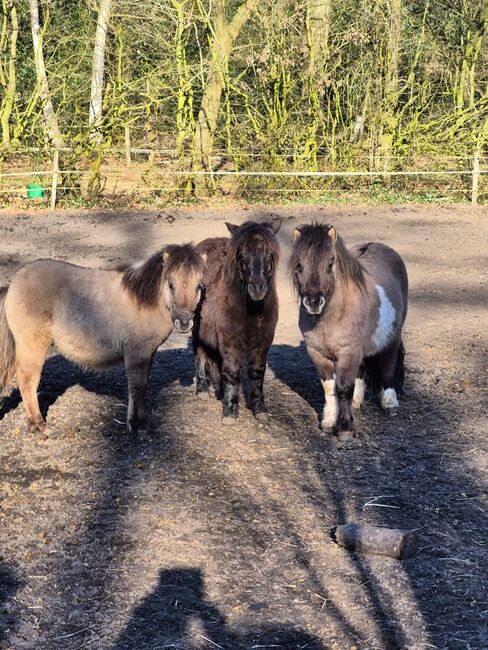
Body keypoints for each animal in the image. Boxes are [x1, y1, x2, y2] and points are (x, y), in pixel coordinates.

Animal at [0, 246, 206, 432]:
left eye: (198, 286)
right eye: (171, 284)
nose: (184, 323)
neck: (146, 301)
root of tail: (12, 286)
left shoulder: (148, 354)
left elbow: (143, 385)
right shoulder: (136, 353)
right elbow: (137, 386)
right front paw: (136, 424)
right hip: (32, 346)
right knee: (27, 381)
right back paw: (37, 424)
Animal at [192, 220, 280, 422]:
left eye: (269, 255)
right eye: (242, 255)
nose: (257, 289)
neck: (251, 310)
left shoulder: (263, 341)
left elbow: (257, 372)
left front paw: (258, 408)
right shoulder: (229, 340)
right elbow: (232, 371)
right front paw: (230, 412)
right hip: (199, 329)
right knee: (200, 354)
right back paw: (202, 389)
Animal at [290, 221, 408, 440]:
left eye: (330, 264)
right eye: (299, 266)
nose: (313, 302)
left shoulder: (348, 351)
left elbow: (344, 388)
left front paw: (345, 429)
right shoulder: (317, 353)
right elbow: (329, 388)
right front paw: (329, 422)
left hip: (392, 338)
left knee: (387, 367)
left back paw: (389, 403)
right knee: (361, 371)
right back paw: (356, 402)